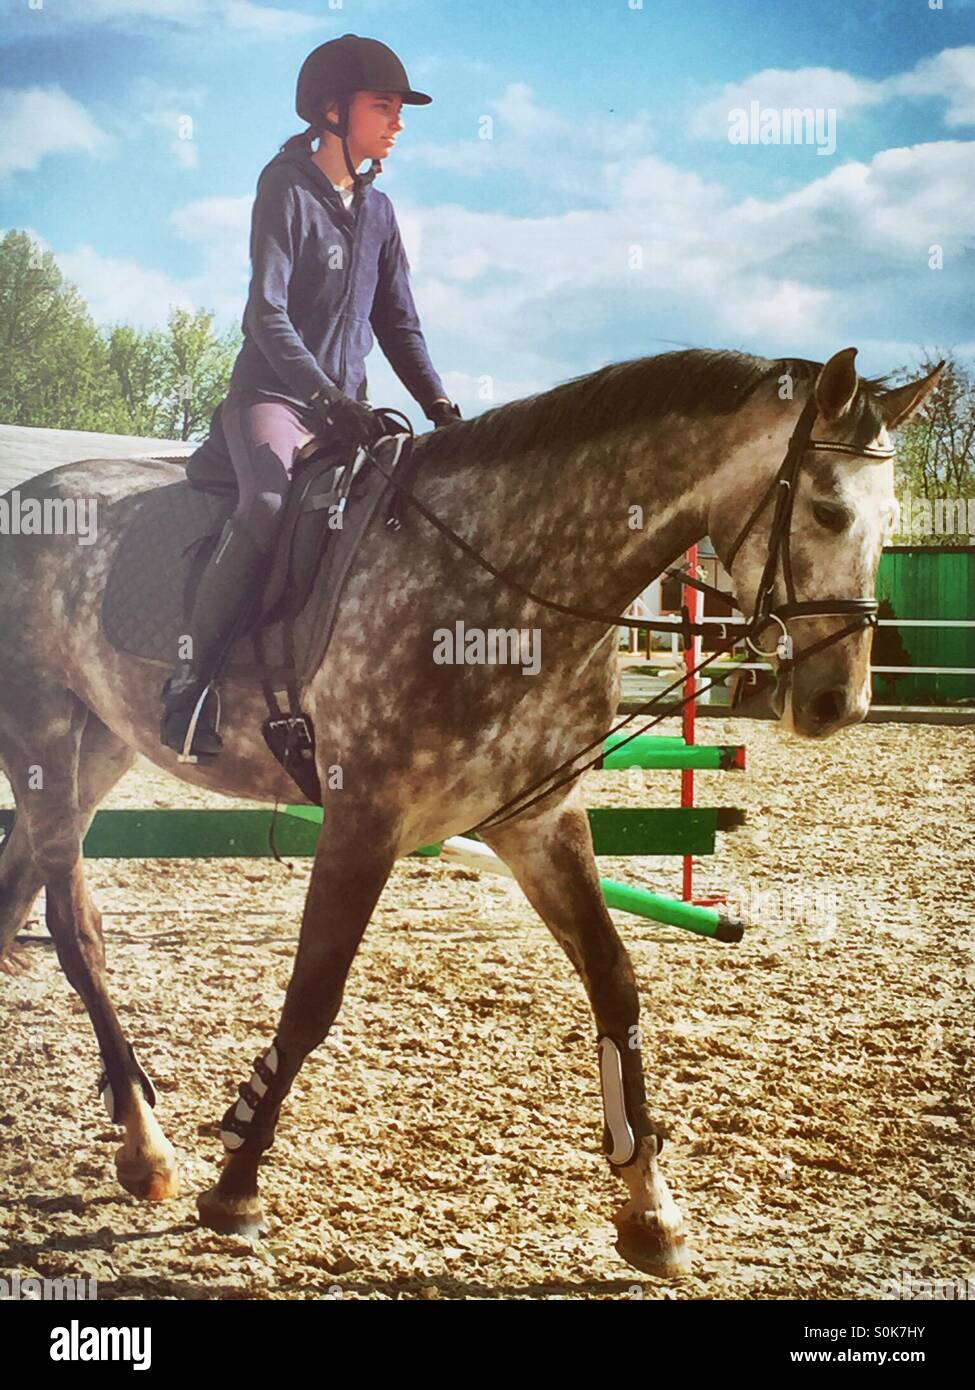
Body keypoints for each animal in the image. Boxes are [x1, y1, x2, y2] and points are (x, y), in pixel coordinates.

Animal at [1, 344, 945, 1273]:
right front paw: (236, 1184)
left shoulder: (539, 822)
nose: (836, 703)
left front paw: (651, 1208)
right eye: (826, 510)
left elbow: (616, 985)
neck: (510, 582)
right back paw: (145, 1144)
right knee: (75, 928)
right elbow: (312, 997)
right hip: (42, 730)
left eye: (892, 516)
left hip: (102, 743)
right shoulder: (363, 819)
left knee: (27, 889)